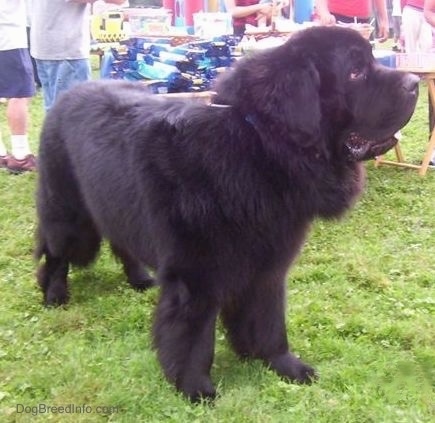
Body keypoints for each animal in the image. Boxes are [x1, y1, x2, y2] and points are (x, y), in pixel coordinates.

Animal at [35, 26, 418, 400]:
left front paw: (283, 364)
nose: (414, 82)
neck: (258, 146)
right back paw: (55, 295)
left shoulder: (268, 265)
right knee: (56, 253)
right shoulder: (196, 275)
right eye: (355, 72)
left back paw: (140, 278)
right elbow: (194, 336)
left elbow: (269, 321)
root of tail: (67, 94)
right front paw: (195, 388)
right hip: (68, 212)